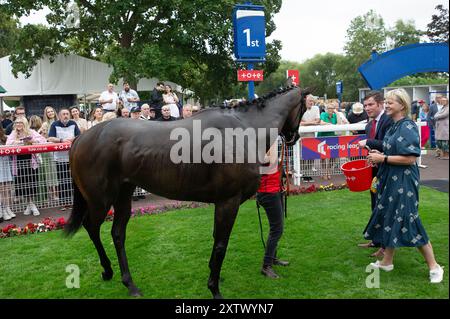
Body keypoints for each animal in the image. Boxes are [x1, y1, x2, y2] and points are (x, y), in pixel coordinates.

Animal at [65, 85, 308, 300]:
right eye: (304, 108)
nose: (294, 136)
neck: (243, 130)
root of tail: (81, 138)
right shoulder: (228, 201)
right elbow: (221, 245)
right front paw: (214, 288)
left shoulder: (221, 203)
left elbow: (216, 239)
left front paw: (214, 276)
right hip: (100, 199)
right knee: (91, 226)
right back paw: (108, 270)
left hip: (124, 195)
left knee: (117, 234)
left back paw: (129, 283)